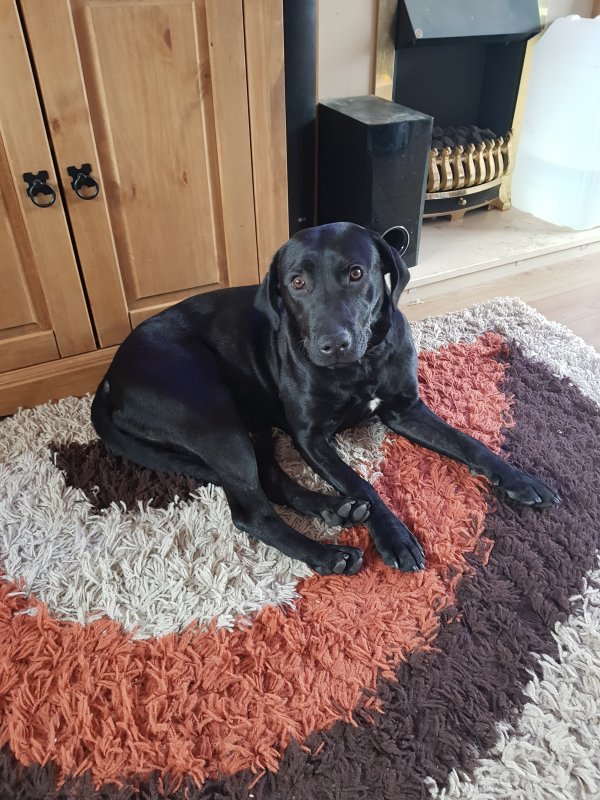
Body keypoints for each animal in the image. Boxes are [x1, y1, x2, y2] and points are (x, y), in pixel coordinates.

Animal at [91, 222, 559, 576]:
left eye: (356, 273)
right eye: (296, 283)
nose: (333, 344)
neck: (361, 365)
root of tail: (110, 377)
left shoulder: (406, 409)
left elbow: (468, 442)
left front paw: (520, 479)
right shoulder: (311, 437)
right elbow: (361, 483)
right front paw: (394, 535)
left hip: (250, 425)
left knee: (271, 480)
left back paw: (335, 510)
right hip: (212, 416)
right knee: (250, 512)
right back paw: (328, 552)